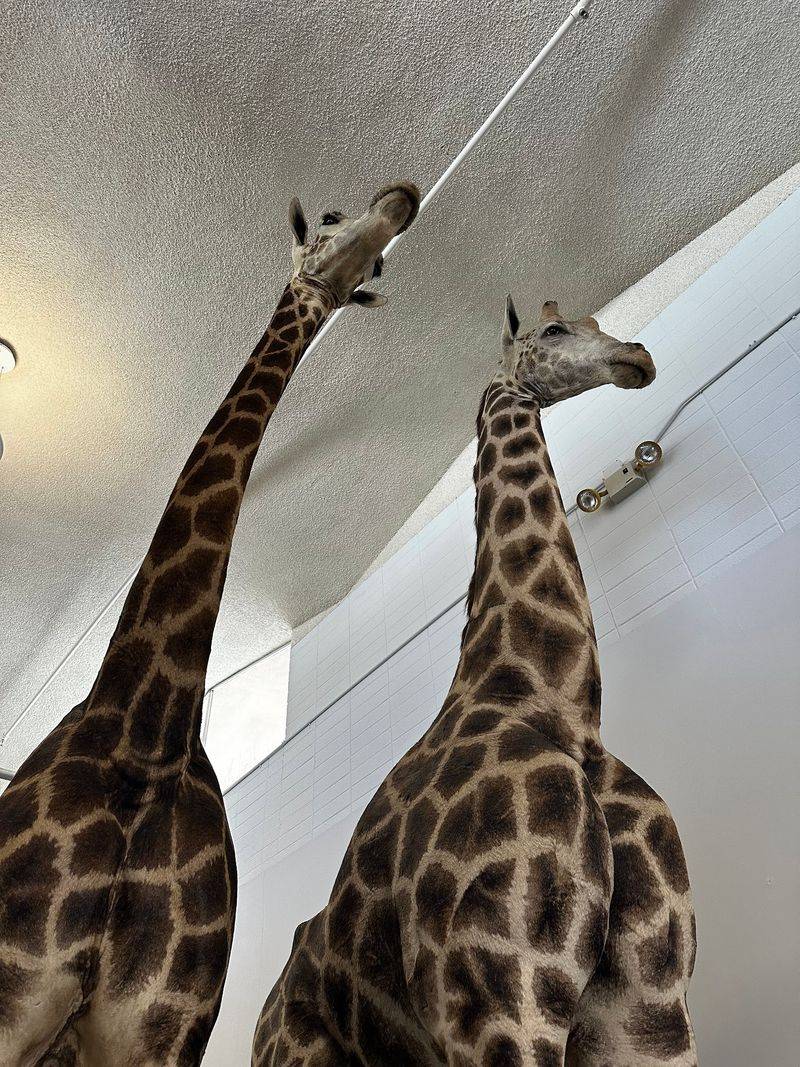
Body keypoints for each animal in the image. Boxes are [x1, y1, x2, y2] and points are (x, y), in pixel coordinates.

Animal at [0, 179, 420, 1067]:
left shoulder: (158, 1027)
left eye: (376, 272)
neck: (146, 735)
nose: (401, 199)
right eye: (330, 221)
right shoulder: (16, 986)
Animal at [252, 298, 697, 1067]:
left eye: (595, 321)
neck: (552, 699)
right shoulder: (495, 1002)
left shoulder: (650, 1001)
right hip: (310, 1051)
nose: (636, 357)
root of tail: (262, 1016)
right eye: (553, 331)